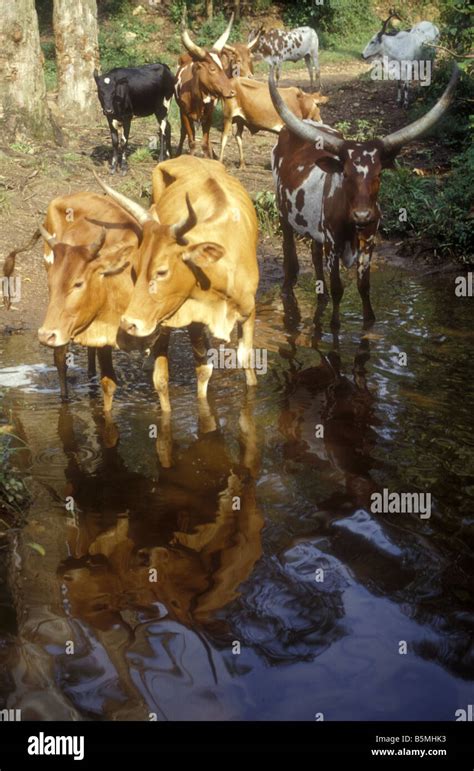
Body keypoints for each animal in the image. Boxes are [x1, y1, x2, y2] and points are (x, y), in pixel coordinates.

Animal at [93, 153, 260, 414]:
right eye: (135, 269)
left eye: (162, 272)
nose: (129, 324)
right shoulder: (189, 319)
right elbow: (196, 371)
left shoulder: (249, 310)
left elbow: (246, 362)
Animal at [270, 65, 460, 328]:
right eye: (346, 173)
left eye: (378, 173)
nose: (362, 215)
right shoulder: (333, 244)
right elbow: (338, 288)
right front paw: (334, 326)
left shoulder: (369, 241)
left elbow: (364, 287)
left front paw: (369, 323)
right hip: (283, 215)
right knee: (291, 262)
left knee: (315, 257)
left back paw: (320, 297)